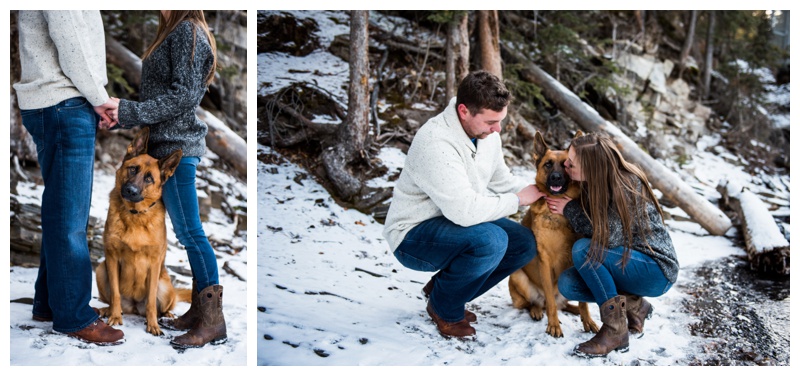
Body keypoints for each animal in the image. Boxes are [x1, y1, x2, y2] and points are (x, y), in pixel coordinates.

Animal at [95, 128, 191, 336]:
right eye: (133, 169)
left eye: (149, 179)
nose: (130, 191)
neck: (135, 215)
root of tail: (133, 307)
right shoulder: (112, 258)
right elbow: (115, 293)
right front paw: (115, 316)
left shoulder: (154, 264)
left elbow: (151, 302)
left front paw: (153, 324)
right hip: (101, 270)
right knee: (112, 299)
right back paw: (107, 310)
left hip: (165, 286)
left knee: (163, 304)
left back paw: (166, 315)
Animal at [510, 130, 596, 338]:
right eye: (548, 164)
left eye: (566, 165)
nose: (556, 177)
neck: (557, 213)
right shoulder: (545, 261)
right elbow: (549, 301)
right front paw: (554, 325)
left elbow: (584, 302)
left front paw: (587, 320)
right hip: (517, 276)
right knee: (536, 303)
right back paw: (536, 310)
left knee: (564, 305)